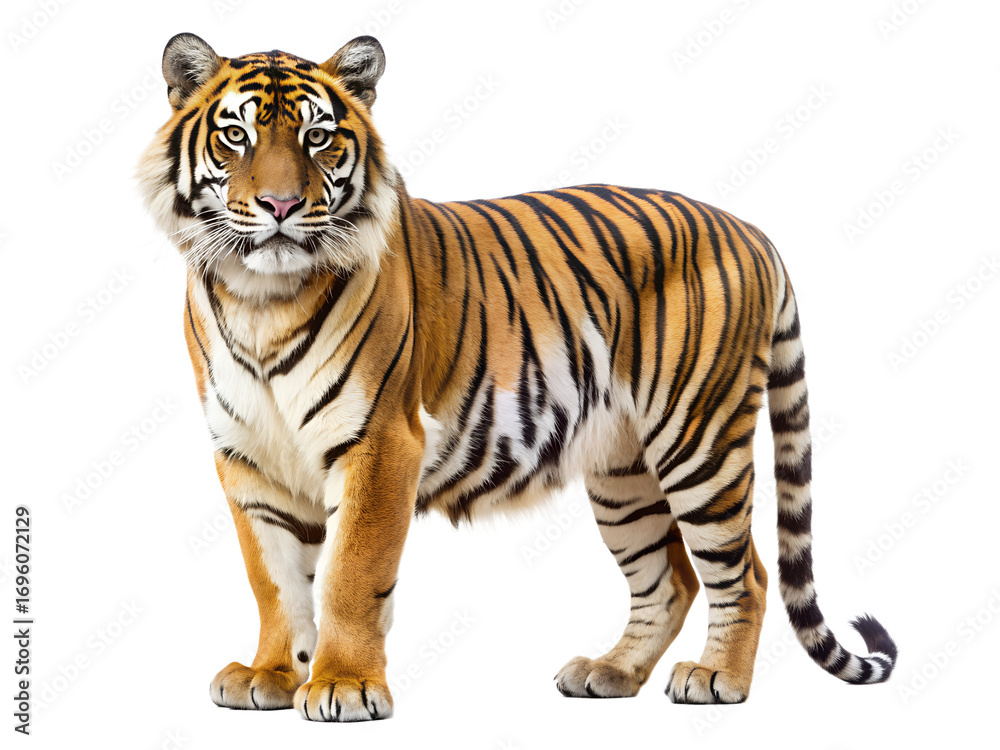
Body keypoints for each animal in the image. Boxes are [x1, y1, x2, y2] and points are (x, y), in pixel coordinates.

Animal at [138, 33, 897, 722]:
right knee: (670, 580)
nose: (280, 207)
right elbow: (274, 580)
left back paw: (716, 680)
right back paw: (610, 673)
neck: (260, 301)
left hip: (699, 439)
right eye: (235, 136)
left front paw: (344, 686)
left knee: (749, 574)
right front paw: (269, 674)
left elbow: (351, 573)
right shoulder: (249, 458)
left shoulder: (379, 443)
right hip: (622, 471)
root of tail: (749, 229)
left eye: (318, 137)